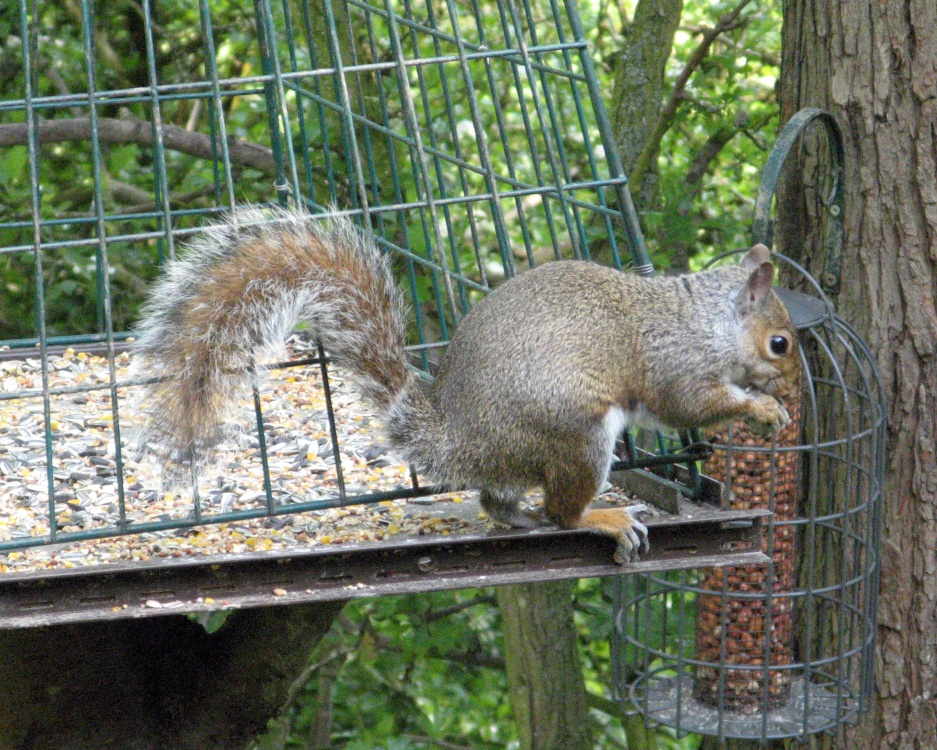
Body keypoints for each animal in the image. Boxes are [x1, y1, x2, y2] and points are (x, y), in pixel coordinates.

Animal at [137, 206, 796, 564]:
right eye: (780, 344)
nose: (791, 387)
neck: (708, 321)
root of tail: (460, 439)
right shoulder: (675, 361)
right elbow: (691, 404)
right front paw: (762, 408)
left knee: (498, 501)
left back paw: (519, 517)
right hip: (578, 434)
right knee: (562, 511)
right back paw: (600, 517)